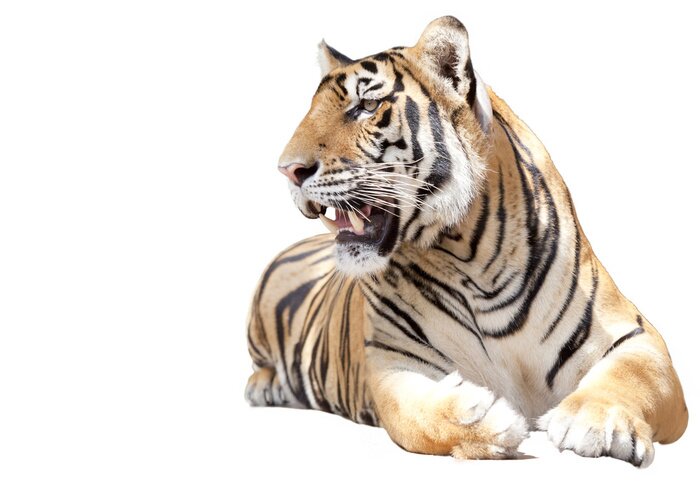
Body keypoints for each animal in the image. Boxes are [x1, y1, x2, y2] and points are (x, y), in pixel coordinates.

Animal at [244, 16, 688, 467]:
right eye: (311, 110)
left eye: (366, 106)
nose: (287, 170)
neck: (473, 261)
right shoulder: (390, 362)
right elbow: (418, 416)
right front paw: (488, 418)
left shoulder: (638, 337)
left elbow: (633, 375)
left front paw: (598, 423)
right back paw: (265, 387)